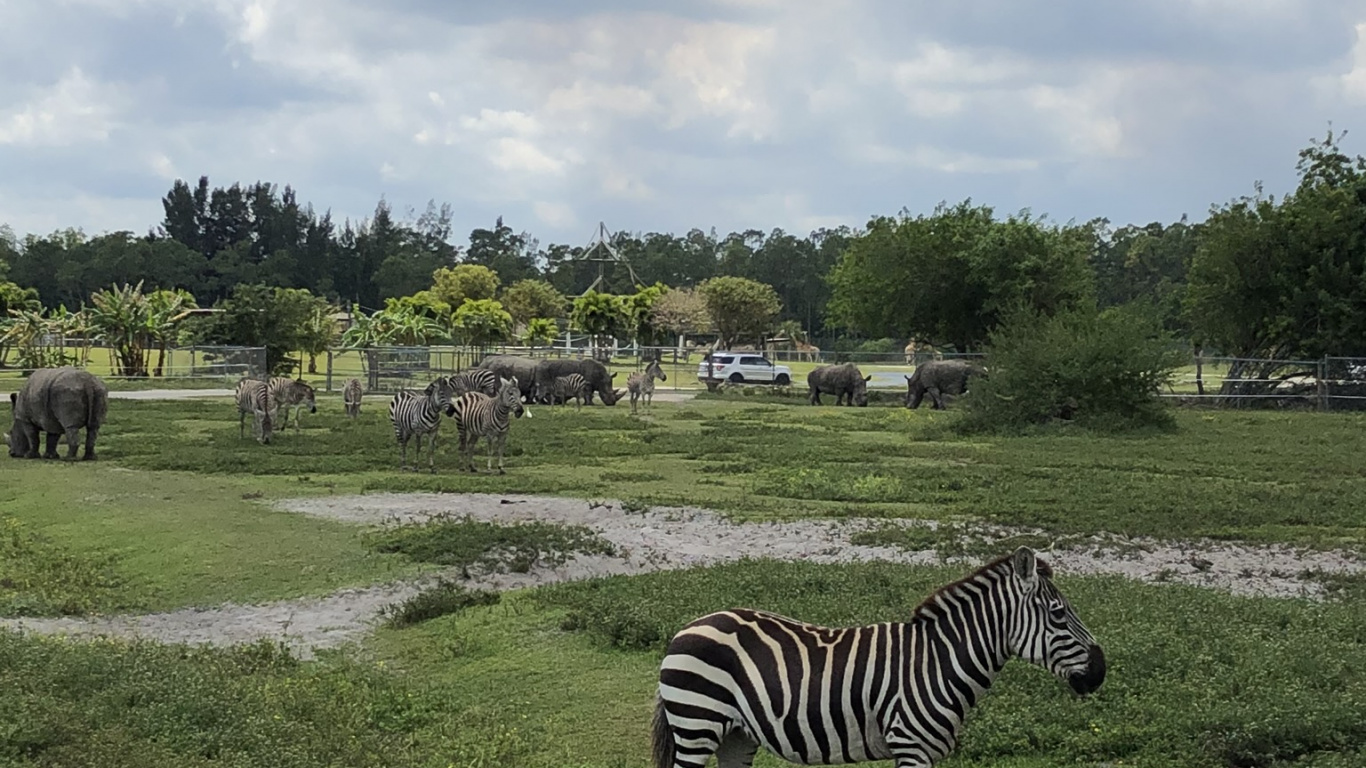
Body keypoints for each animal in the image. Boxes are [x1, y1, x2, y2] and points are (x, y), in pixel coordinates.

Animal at [651, 547, 1106, 768]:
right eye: (1059, 614)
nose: (1100, 672)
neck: (938, 661)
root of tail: (687, 627)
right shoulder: (911, 746)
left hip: (736, 735)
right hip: (697, 723)